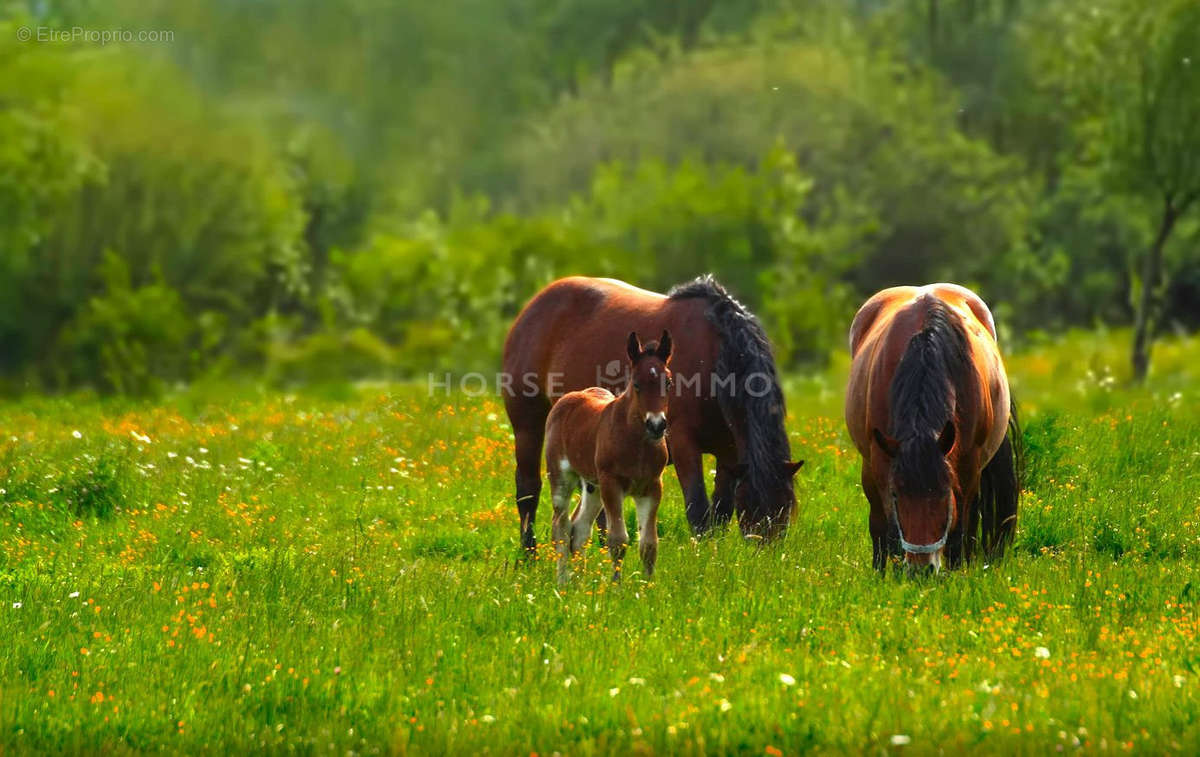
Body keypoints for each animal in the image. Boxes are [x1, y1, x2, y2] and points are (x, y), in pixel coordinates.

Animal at [501, 275, 801, 554]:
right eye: (752, 510)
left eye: (786, 511)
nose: (766, 558)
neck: (716, 358)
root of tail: (533, 307)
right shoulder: (683, 443)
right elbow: (698, 509)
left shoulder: (729, 454)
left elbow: (721, 513)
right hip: (528, 426)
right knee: (528, 490)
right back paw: (527, 556)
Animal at [544, 328, 676, 583]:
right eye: (636, 384)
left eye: (668, 382)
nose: (657, 425)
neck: (637, 444)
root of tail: (569, 398)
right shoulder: (612, 483)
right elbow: (618, 540)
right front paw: (616, 587)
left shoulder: (652, 487)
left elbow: (649, 544)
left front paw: (648, 587)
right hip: (562, 478)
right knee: (561, 527)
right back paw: (563, 582)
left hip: (592, 486)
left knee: (579, 529)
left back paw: (579, 584)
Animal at [844, 284, 1022, 573]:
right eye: (897, 493)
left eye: (942, 493)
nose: (921, 570)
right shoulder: (879, 461)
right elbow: (885, 529)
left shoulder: (967, 468)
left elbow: (960, 527)